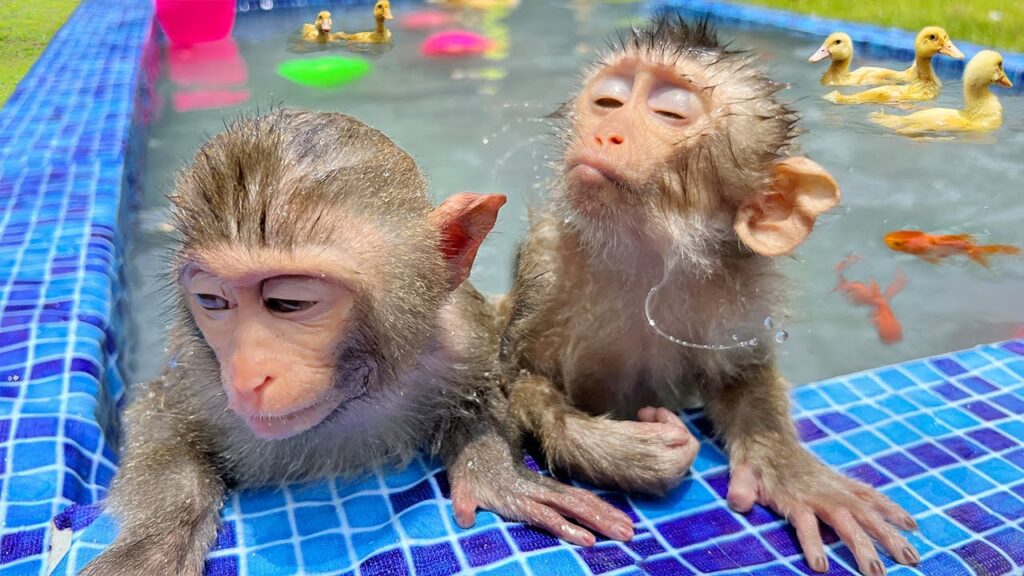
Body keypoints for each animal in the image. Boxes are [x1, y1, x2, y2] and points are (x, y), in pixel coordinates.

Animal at [79, 110, 634, 576]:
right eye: (213, 301)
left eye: (289, 302)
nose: (246, 376)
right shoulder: (200, 380)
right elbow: (157, 420)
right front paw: (153, 545)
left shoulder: (461, 339)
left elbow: (484, 388)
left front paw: (494, 471)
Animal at [500, 18, 919, 576]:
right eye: (609, 101)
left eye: (671, 113)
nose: (606, 131)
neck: (643, 259)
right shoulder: (544, 263)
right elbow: (517, 377)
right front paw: (630, 454)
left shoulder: (740, 289)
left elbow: (740, 375)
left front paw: (791, 470)